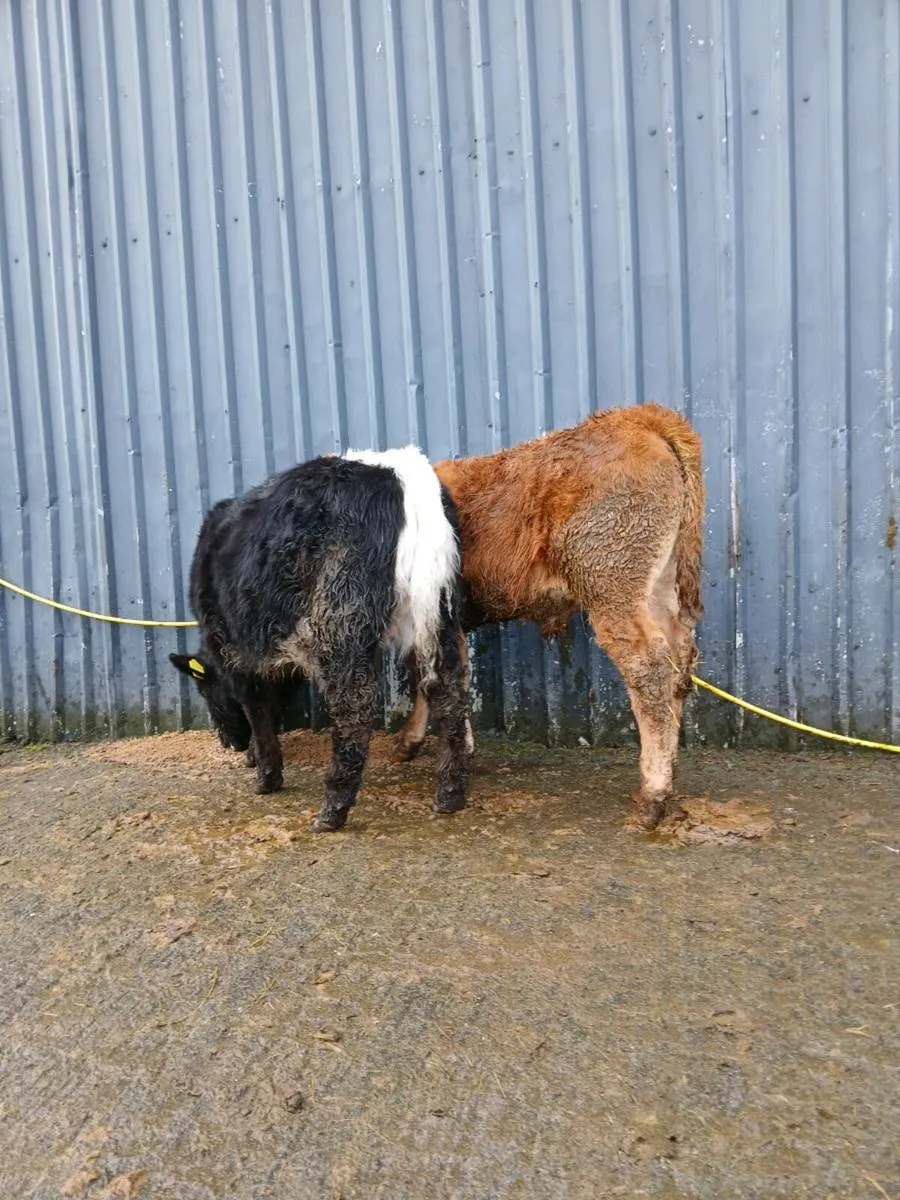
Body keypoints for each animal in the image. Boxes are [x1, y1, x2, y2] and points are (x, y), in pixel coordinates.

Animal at [170, 447, 470, 833]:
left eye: (204, 689)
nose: (229, 742)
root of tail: (398, 470)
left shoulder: (235, 648)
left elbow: (257, 708)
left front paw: (266, 774)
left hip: (340, 619)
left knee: (355, 706)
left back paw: (333, 810)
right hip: (437, 615)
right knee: (447, 690)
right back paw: (450, 794)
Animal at [394, 403, 704, 831]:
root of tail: (636, 417)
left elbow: (429, 678)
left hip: (611, 585)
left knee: (649, 667)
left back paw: (653, 795)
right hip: (658, 586)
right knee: (679, 658)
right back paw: (668, 770)